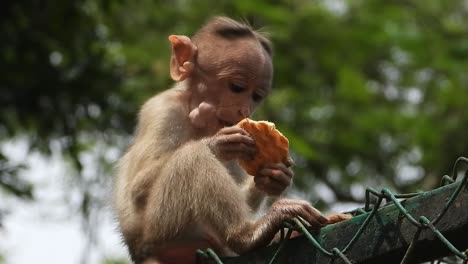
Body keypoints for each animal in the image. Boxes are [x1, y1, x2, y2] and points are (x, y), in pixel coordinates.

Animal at [113, 17, 332, 264]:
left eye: (256, 96)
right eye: (237, 87)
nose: (244, 110)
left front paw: (274, 177)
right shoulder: (162, 109)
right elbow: (137, 187)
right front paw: (217, 142)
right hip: (160, 228)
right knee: (192, 157)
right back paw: (247, 235)